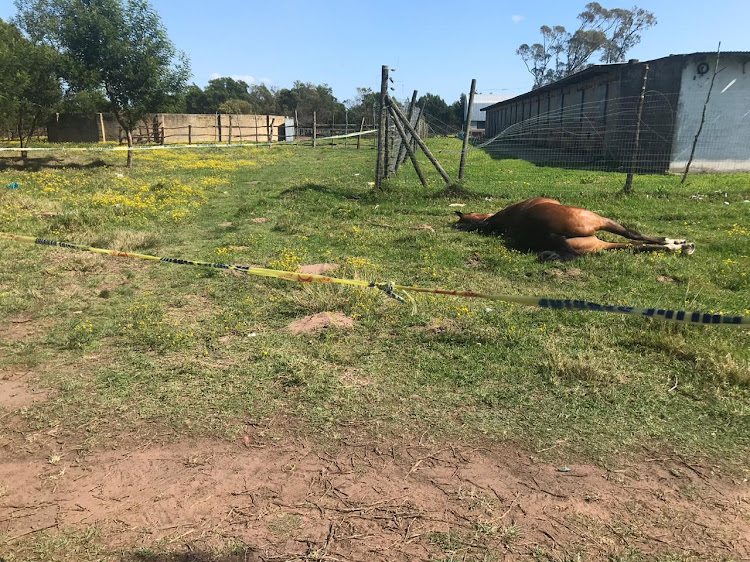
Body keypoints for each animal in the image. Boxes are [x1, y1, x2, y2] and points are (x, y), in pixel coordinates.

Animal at [456, 197, 696, 262]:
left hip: (598, 243)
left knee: (633, 245)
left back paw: (678, 246)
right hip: (600, 221)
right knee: (633, 236)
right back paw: (680, 245)